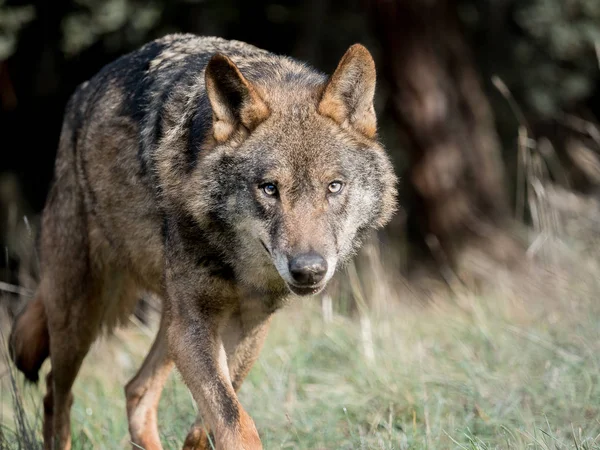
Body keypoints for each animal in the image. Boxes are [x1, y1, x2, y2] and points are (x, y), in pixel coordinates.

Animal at [8, 33, 398, 448]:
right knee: (56, 393)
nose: (309, 270)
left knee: (136, 391)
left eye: (334, 187)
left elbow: (210, 422)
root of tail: (83, 90)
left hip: (166, 321)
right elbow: (234, 422)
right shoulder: (194, 325)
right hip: (81, 316)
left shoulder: (248, 325)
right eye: (270, 189)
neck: (235, 263)